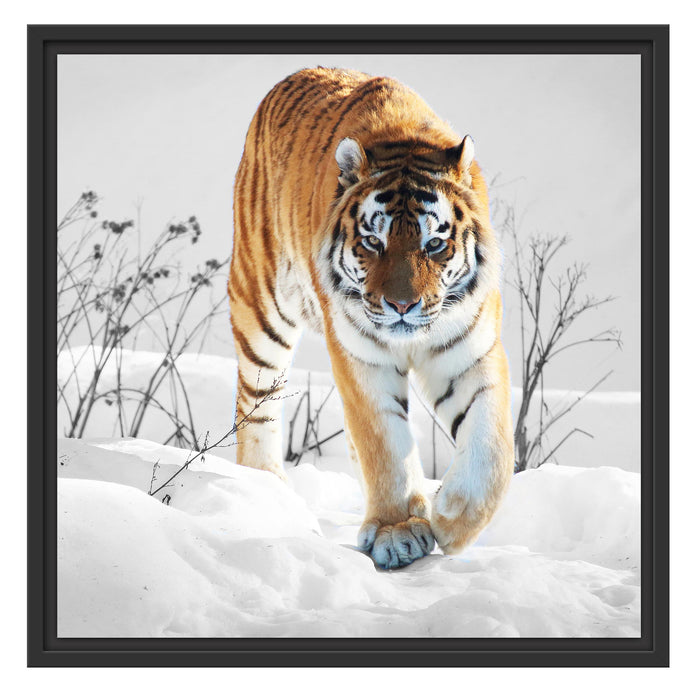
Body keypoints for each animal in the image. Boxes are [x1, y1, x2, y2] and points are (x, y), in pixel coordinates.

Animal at [229, 67, 514, 569]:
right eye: (372, 243)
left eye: (433, 245)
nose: (401, 306)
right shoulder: (361, 357)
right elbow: (384, 443)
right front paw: (397, 531)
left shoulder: (469, 351)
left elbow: (492, 445)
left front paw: (452, 518)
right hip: (261, 307)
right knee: (257, 403)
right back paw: (267, 490)